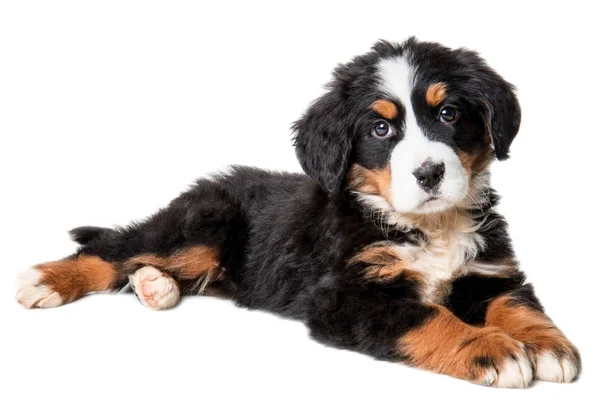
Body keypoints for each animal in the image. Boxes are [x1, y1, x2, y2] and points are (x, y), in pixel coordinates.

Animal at [17, 38, 580, 388]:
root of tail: (205, 185)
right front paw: (491, 349)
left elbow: (517, 303)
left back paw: (156, 286)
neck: (427, 226)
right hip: (203, 223)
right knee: (114, 248)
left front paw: (546, 345)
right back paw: (49, 280)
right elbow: (427, 315)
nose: (429, 173)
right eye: (381, 129)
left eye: (448, 113)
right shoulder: (343, 296)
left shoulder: (489, 269)